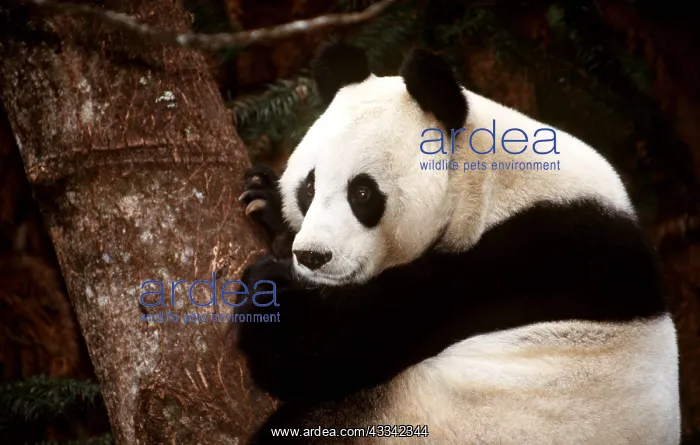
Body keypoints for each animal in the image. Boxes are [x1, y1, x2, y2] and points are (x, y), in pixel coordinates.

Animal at [235, 42, 681, 445]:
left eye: (362, 193)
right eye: (308, 187)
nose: (312, 256)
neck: (489, 183)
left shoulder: (522, 261)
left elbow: (329, 349)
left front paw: (269, 285)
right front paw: (266, 203)